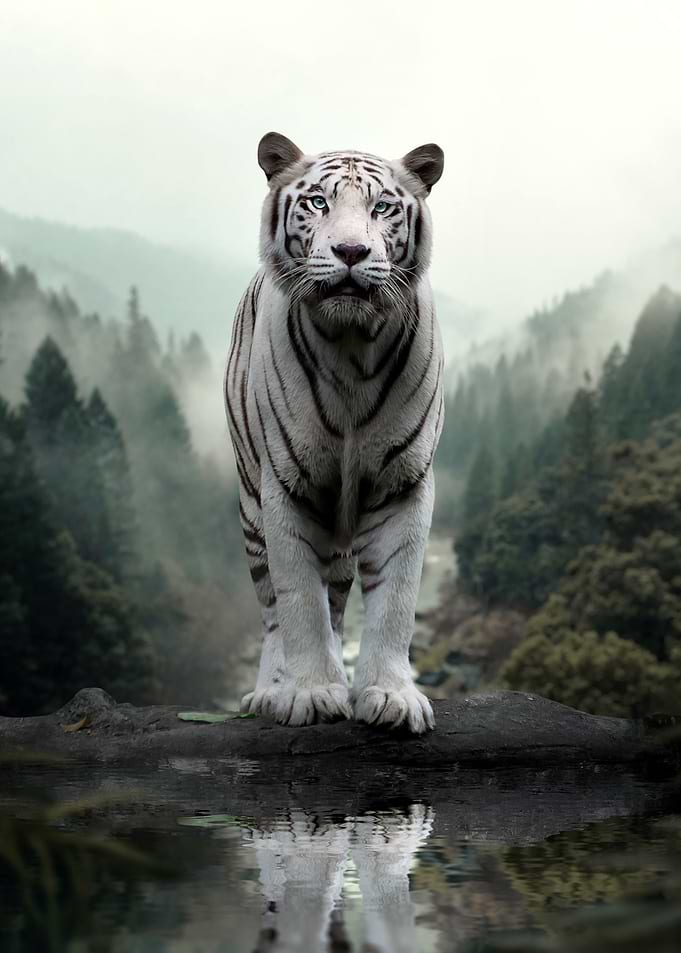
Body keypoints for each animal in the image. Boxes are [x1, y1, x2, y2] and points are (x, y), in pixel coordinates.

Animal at [224, 131, 445, 733]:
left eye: (382, 207)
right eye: (318, 202)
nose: (351, 252)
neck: (351, 346)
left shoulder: (403, 484)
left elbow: (396, 599)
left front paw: (390, 695)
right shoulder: (286, 487)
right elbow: (300, 601)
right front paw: (312, 693)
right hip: (251, 510)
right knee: (273, 610)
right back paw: (268, 692)